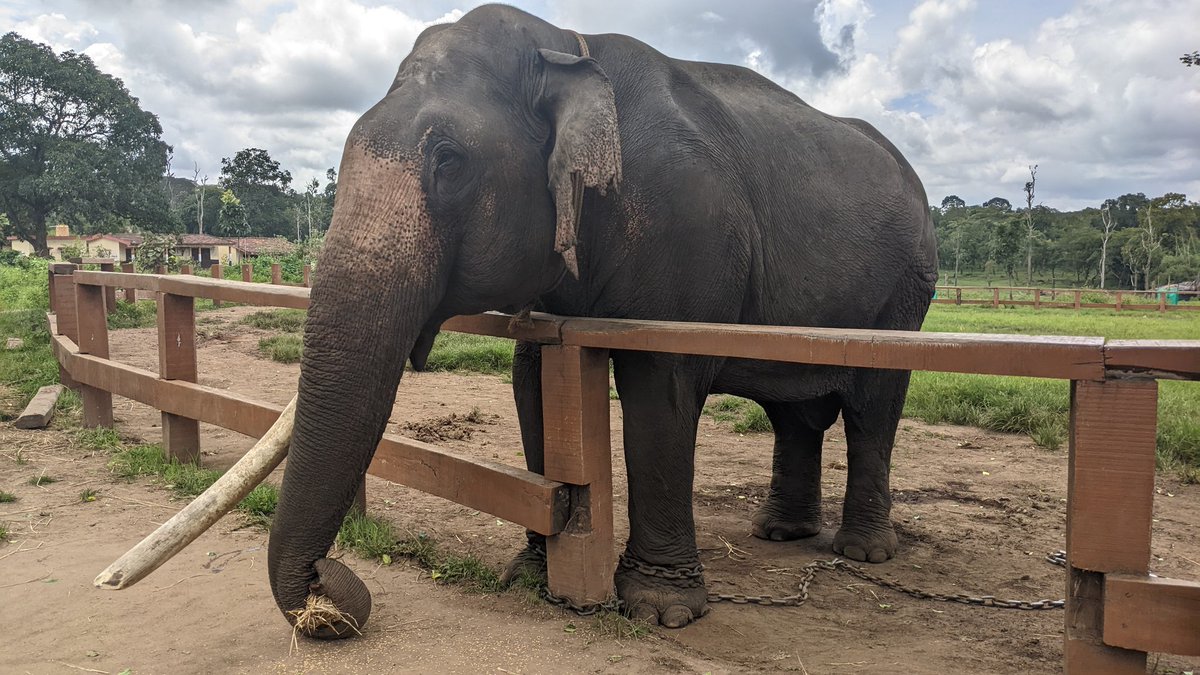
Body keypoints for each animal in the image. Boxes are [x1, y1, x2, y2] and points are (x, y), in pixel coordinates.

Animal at [267, 3, 937, 636]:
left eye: (448, 161)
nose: (330, 585)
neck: (566, 43)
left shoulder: (685, 231)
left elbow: (660, 387)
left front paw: (662, 612)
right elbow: (533, 376)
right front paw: (527, 575)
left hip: (907, 291)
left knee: (874, 405)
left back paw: (864, 551)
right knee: (795, 411)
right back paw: (779, 533)